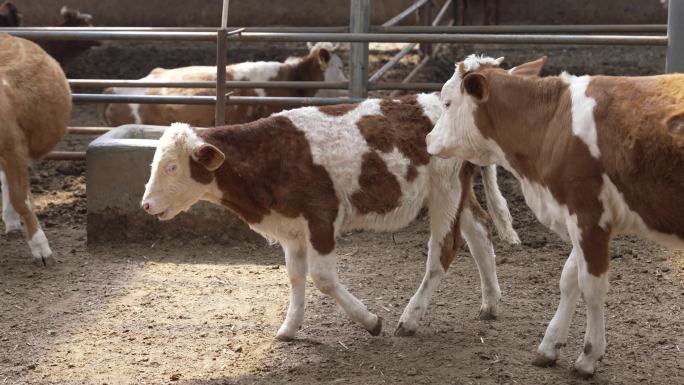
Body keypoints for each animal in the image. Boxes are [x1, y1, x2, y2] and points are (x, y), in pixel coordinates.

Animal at [143, 93, 520, 340]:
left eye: (172, 166)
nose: (145, 205)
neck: (271, 155)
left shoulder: (321, 218)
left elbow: (322, 278)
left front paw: (370, 321)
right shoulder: (292, 228)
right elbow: (295, 276)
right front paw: (289, 328)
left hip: (446, 189)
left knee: (443, 250)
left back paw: (410, 318)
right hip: (456, 192)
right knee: (479, 230)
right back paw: (490, 303)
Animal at [428, 54, 684, 376]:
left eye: (447, 102)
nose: (428, 139)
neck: (553, 124)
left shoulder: (588, 215)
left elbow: (592, 286)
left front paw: (588, 357)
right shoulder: (578, 217)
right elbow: (569, 277)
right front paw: (549, 346)